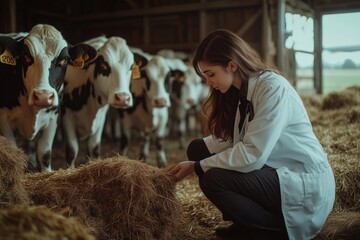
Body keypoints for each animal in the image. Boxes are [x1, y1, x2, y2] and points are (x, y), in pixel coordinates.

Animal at [0, 23, 97, 172]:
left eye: (64, 59)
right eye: (26, 57)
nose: (43, 96)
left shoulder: (54, 116)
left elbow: (44, 153)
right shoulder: (4, 117)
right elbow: (13, 151)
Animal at [62, 35, 136, 169]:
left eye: (131, 67)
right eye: (103, 66)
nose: (123, 98)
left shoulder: (100, 117)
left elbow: (94, 148)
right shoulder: (66, 115)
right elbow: (71, 150)